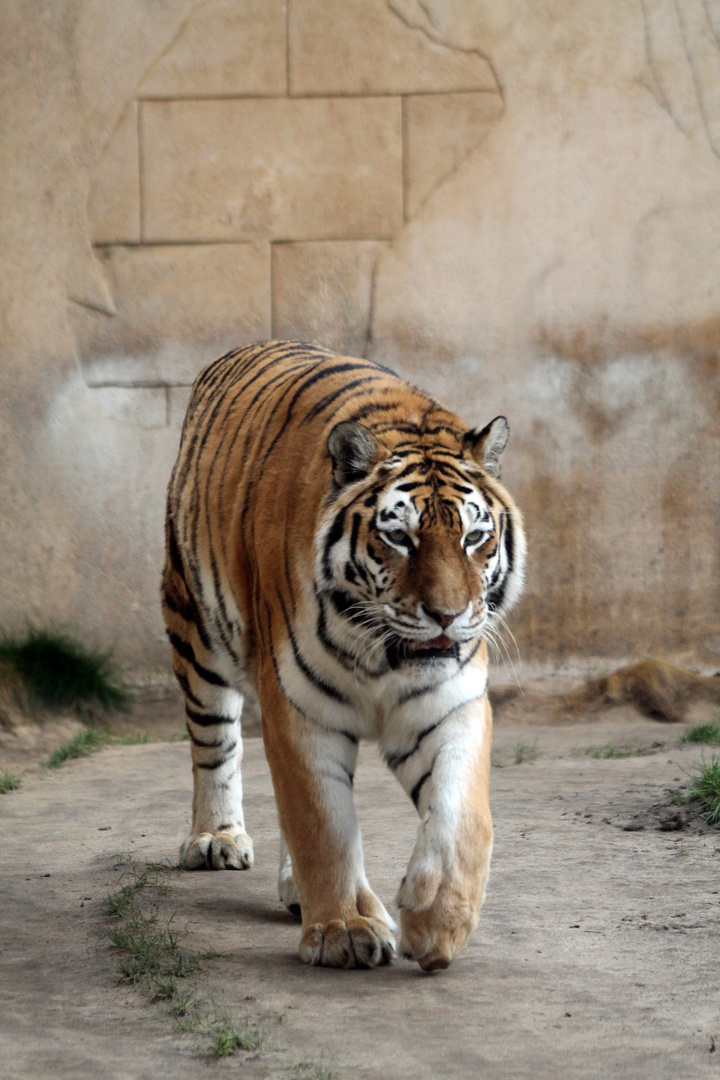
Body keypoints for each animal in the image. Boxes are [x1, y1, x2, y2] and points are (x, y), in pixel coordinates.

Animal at [161, 341, 524, 976]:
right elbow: (321, 824)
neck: (382, 655)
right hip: (195, 627)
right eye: (399, 537)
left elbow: (462, 817)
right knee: (214, 741)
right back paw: (217, 839)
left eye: (474, 538)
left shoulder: (448, 704)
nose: (447, 615)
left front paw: (436, 920)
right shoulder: (301, 706)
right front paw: (344, 931)